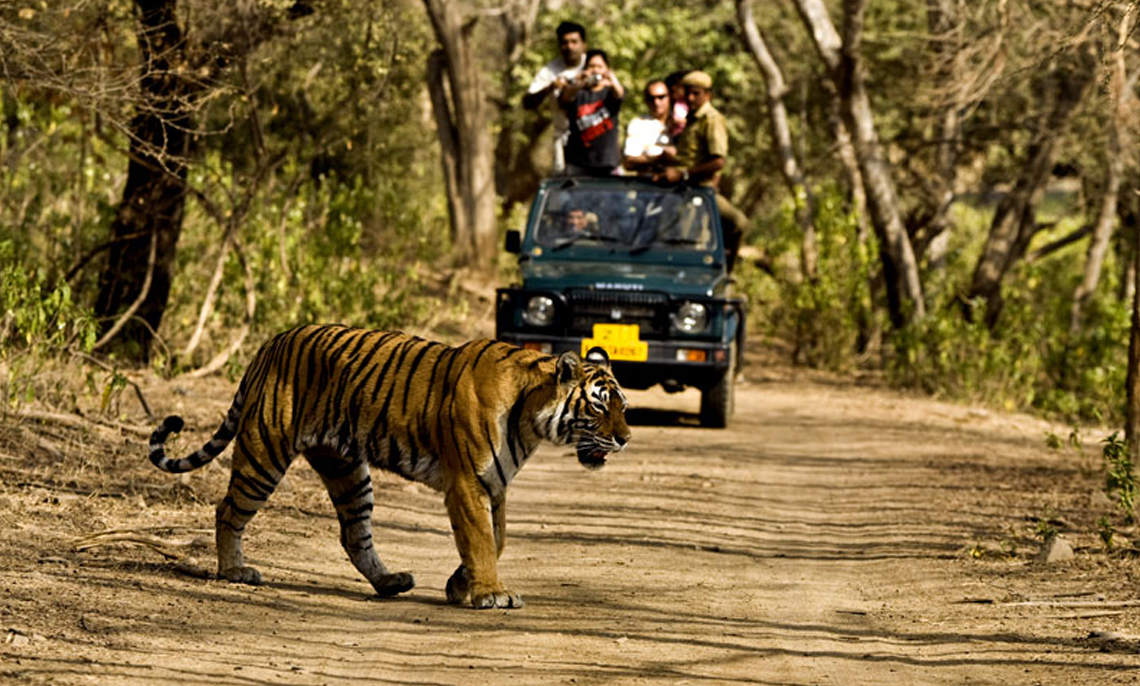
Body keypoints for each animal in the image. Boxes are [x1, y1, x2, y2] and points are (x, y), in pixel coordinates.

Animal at [145, 323, 629, 606]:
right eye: (599, 405)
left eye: (623, 405)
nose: (625, 438)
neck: (531, 417)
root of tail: (272, 341)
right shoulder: (469, 482)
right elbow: (480, 540)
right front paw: (491, 593)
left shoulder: (496, 485)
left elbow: (497, 539)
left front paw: (460, 585)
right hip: (265, 452)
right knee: (228, 509)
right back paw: (234, 571)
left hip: (347, 470)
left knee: (353, 535)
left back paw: (390, 582)